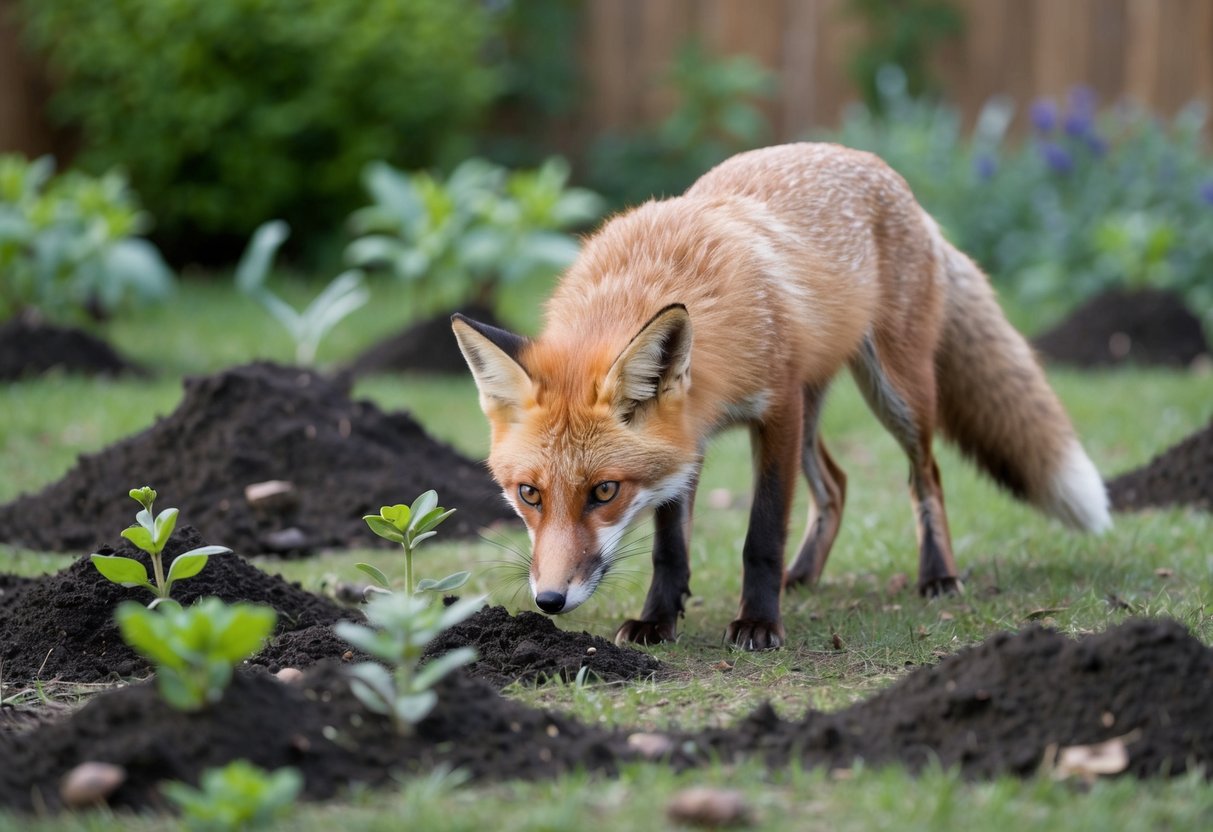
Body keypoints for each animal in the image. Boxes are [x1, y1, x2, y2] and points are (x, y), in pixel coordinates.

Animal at [452, 142, 1111, 651]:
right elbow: (670, 546)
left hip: (895, 392)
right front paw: (659, 620)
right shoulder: (688, 439)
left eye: (605, 492)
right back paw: (807, 574)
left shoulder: (777, 409)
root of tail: (888, 175)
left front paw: (759, 623)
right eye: (529, 494)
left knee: (927, 476)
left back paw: (937, 577)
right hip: (819, 409)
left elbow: (762, 535)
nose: (549, 599)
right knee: (837, 484)